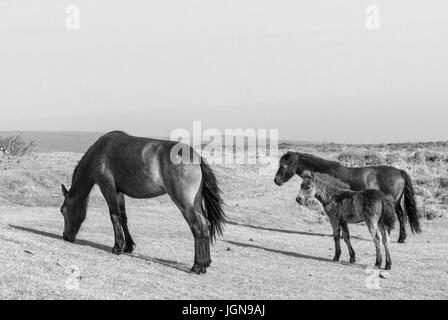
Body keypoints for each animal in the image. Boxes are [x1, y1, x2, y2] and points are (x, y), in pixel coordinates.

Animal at [60, 131, 228, 274]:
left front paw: (117, 246)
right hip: (196, 204)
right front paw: (128, 246)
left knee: (198, 228)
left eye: (62, 210)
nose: (65, 236)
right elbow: (123, 217)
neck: (100, 152)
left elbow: (114, 216)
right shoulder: (119, 192)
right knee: (205, 226)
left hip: (185, 205)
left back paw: (197, 266)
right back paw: (205, 262)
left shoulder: (107, 188)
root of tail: (195, 157)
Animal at [274, 151, 422, 241]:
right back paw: (401, 238)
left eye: (284, 165)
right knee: (401, 215)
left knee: (398, 216)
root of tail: (399, 171)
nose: (276, 180)